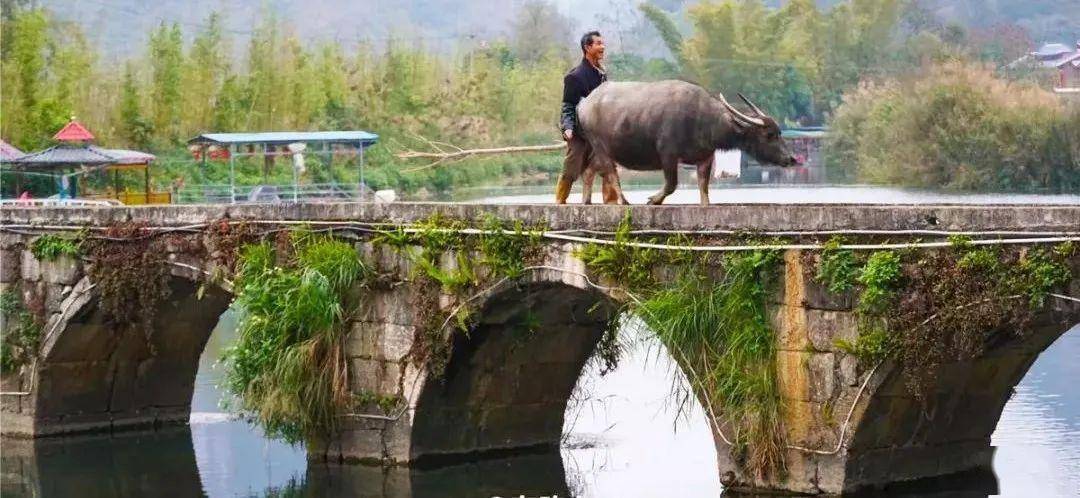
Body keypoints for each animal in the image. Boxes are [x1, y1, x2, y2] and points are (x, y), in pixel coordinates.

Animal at [574, 80, 794, 205]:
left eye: (779, 132)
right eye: (769, 135)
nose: (791, 158)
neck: (703, 119)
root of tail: (584, 104)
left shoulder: (705, 157)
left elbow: (704, 187)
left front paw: (705, 205)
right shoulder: (668, 155)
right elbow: (672, 184)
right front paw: (654, 200)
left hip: (601, 150)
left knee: (589, 170)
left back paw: (586, 200)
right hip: (601, 147)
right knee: (610, 173)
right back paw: (623, 200)